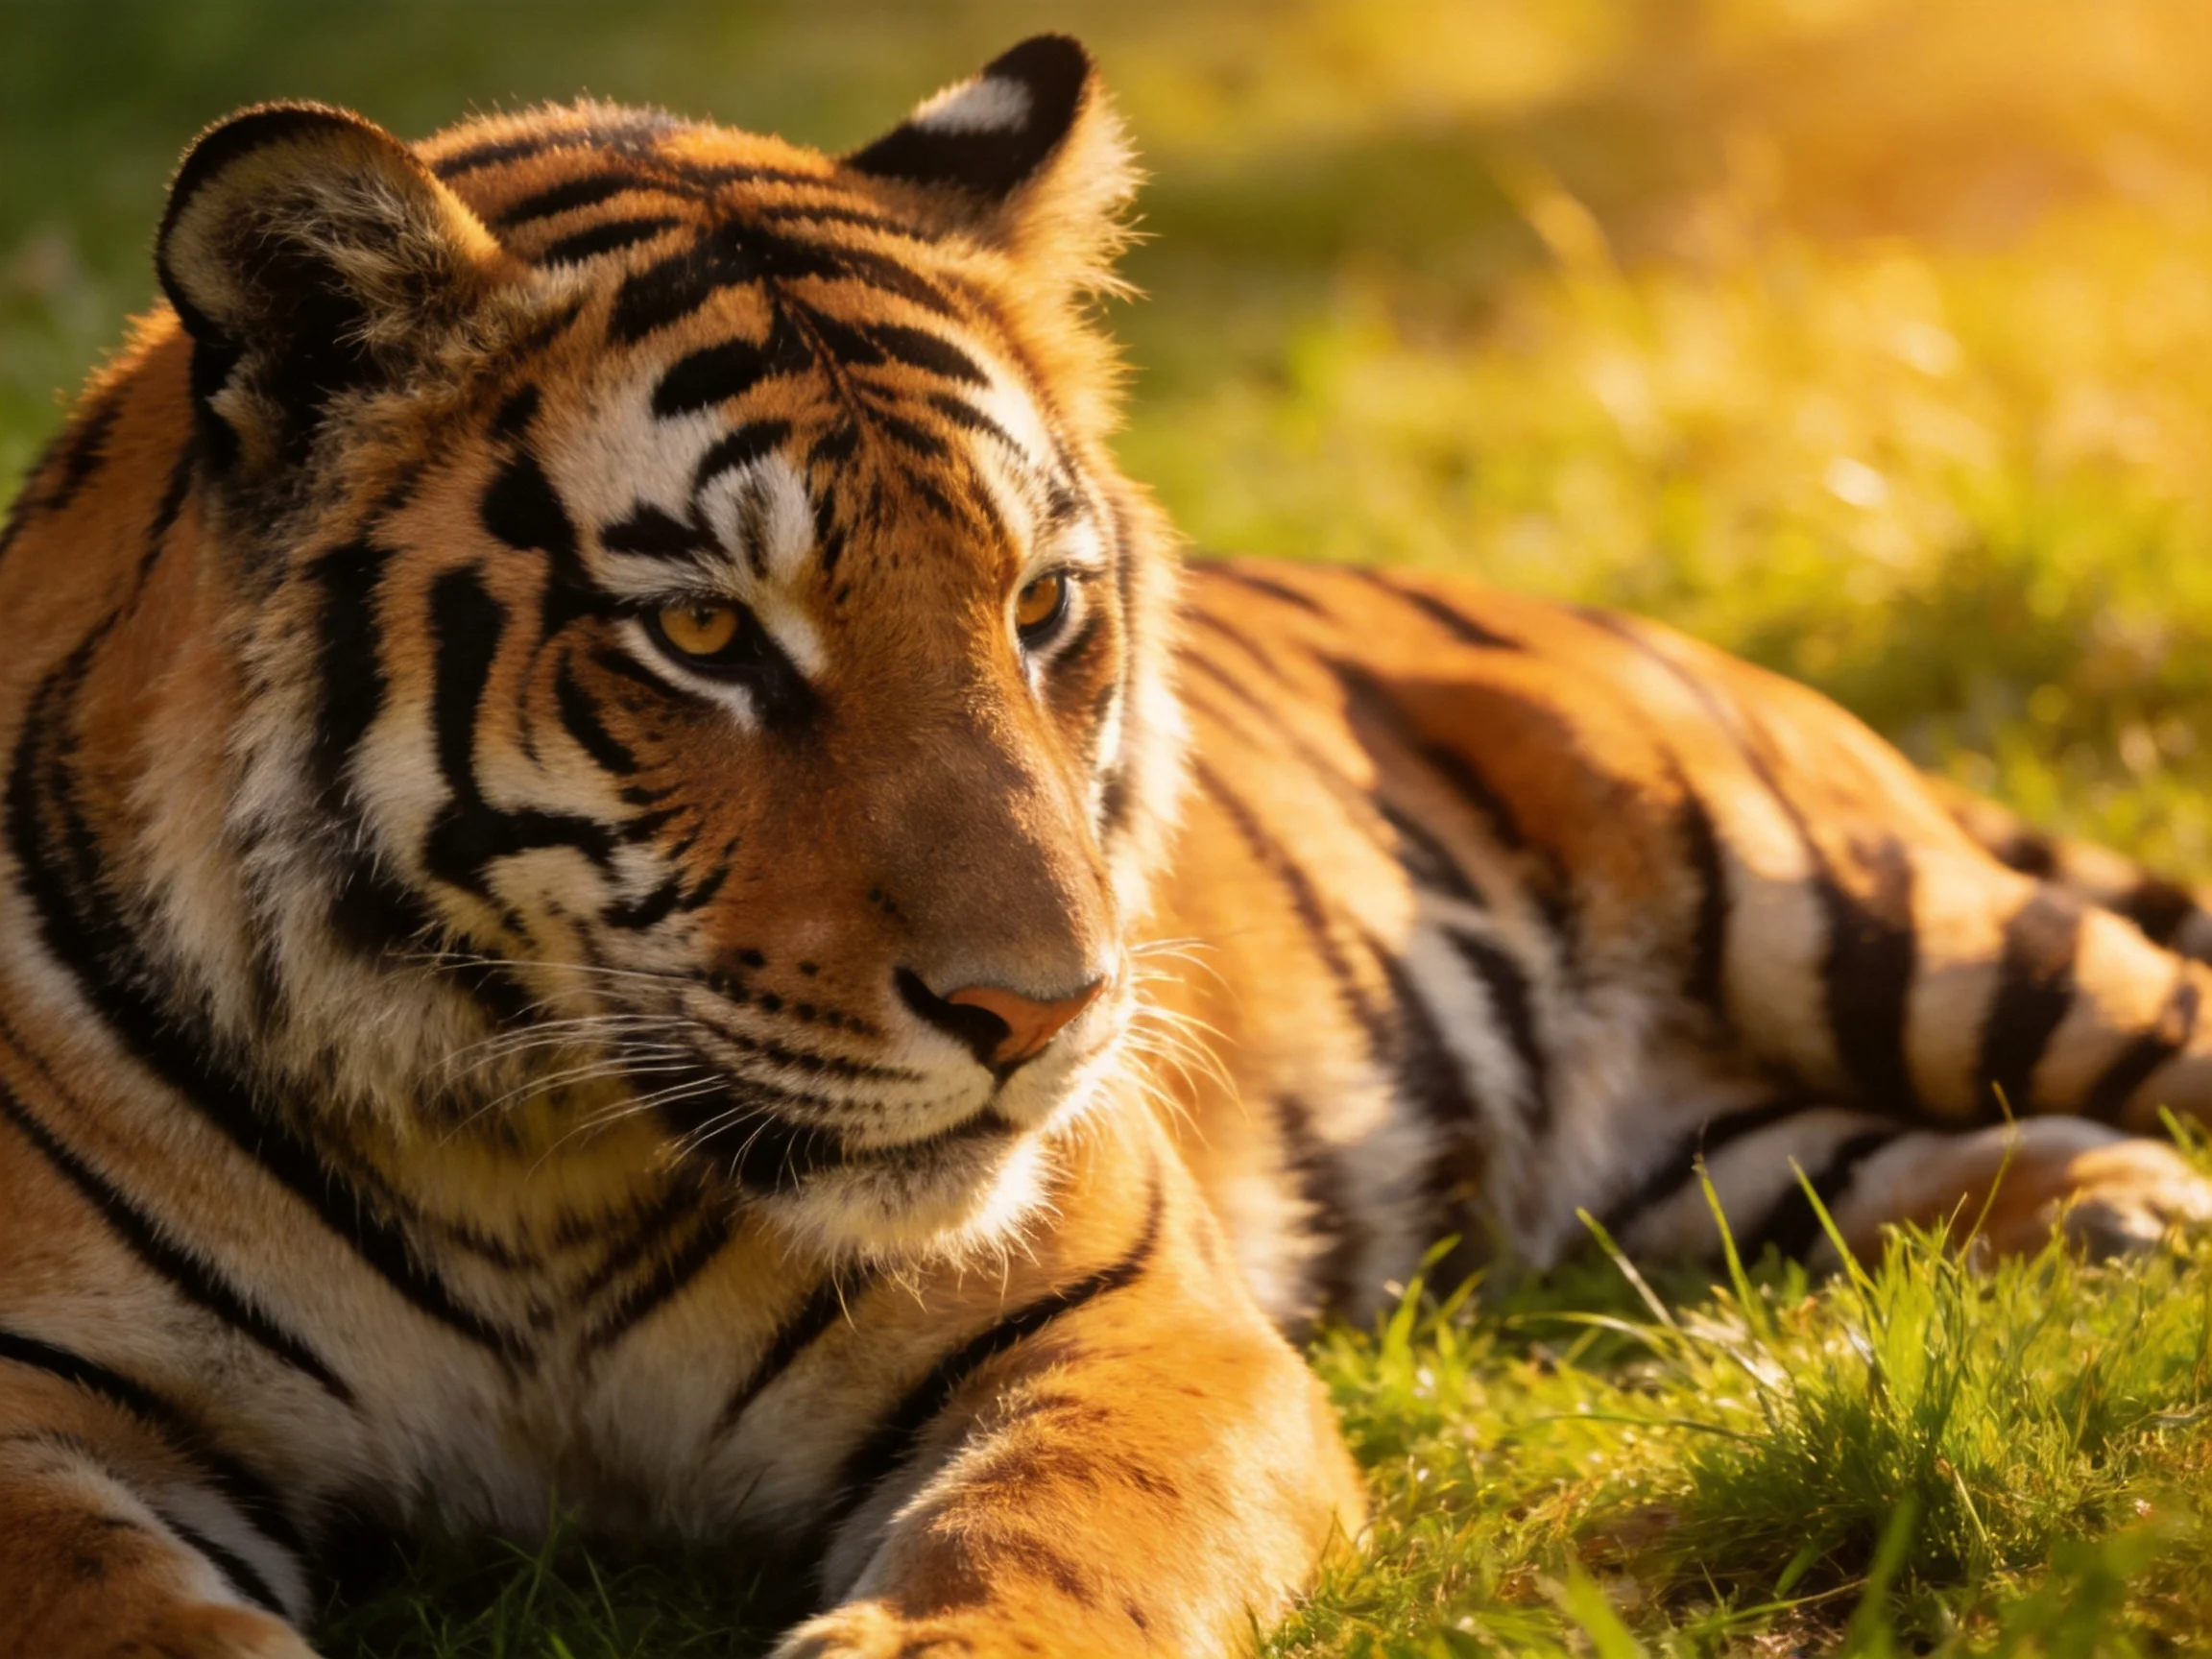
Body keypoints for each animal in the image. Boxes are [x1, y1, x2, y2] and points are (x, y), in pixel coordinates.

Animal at [3, 31, 2210, 1659]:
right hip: (1670, 1157)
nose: (1040, 1013)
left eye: (1038, 606)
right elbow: (122, 1613)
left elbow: (1057, 1544)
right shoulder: (39, 1415)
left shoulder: (1129, 1329)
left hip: (1871, 917)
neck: (520, 1157)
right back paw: (2109, 1210)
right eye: (705, 634)